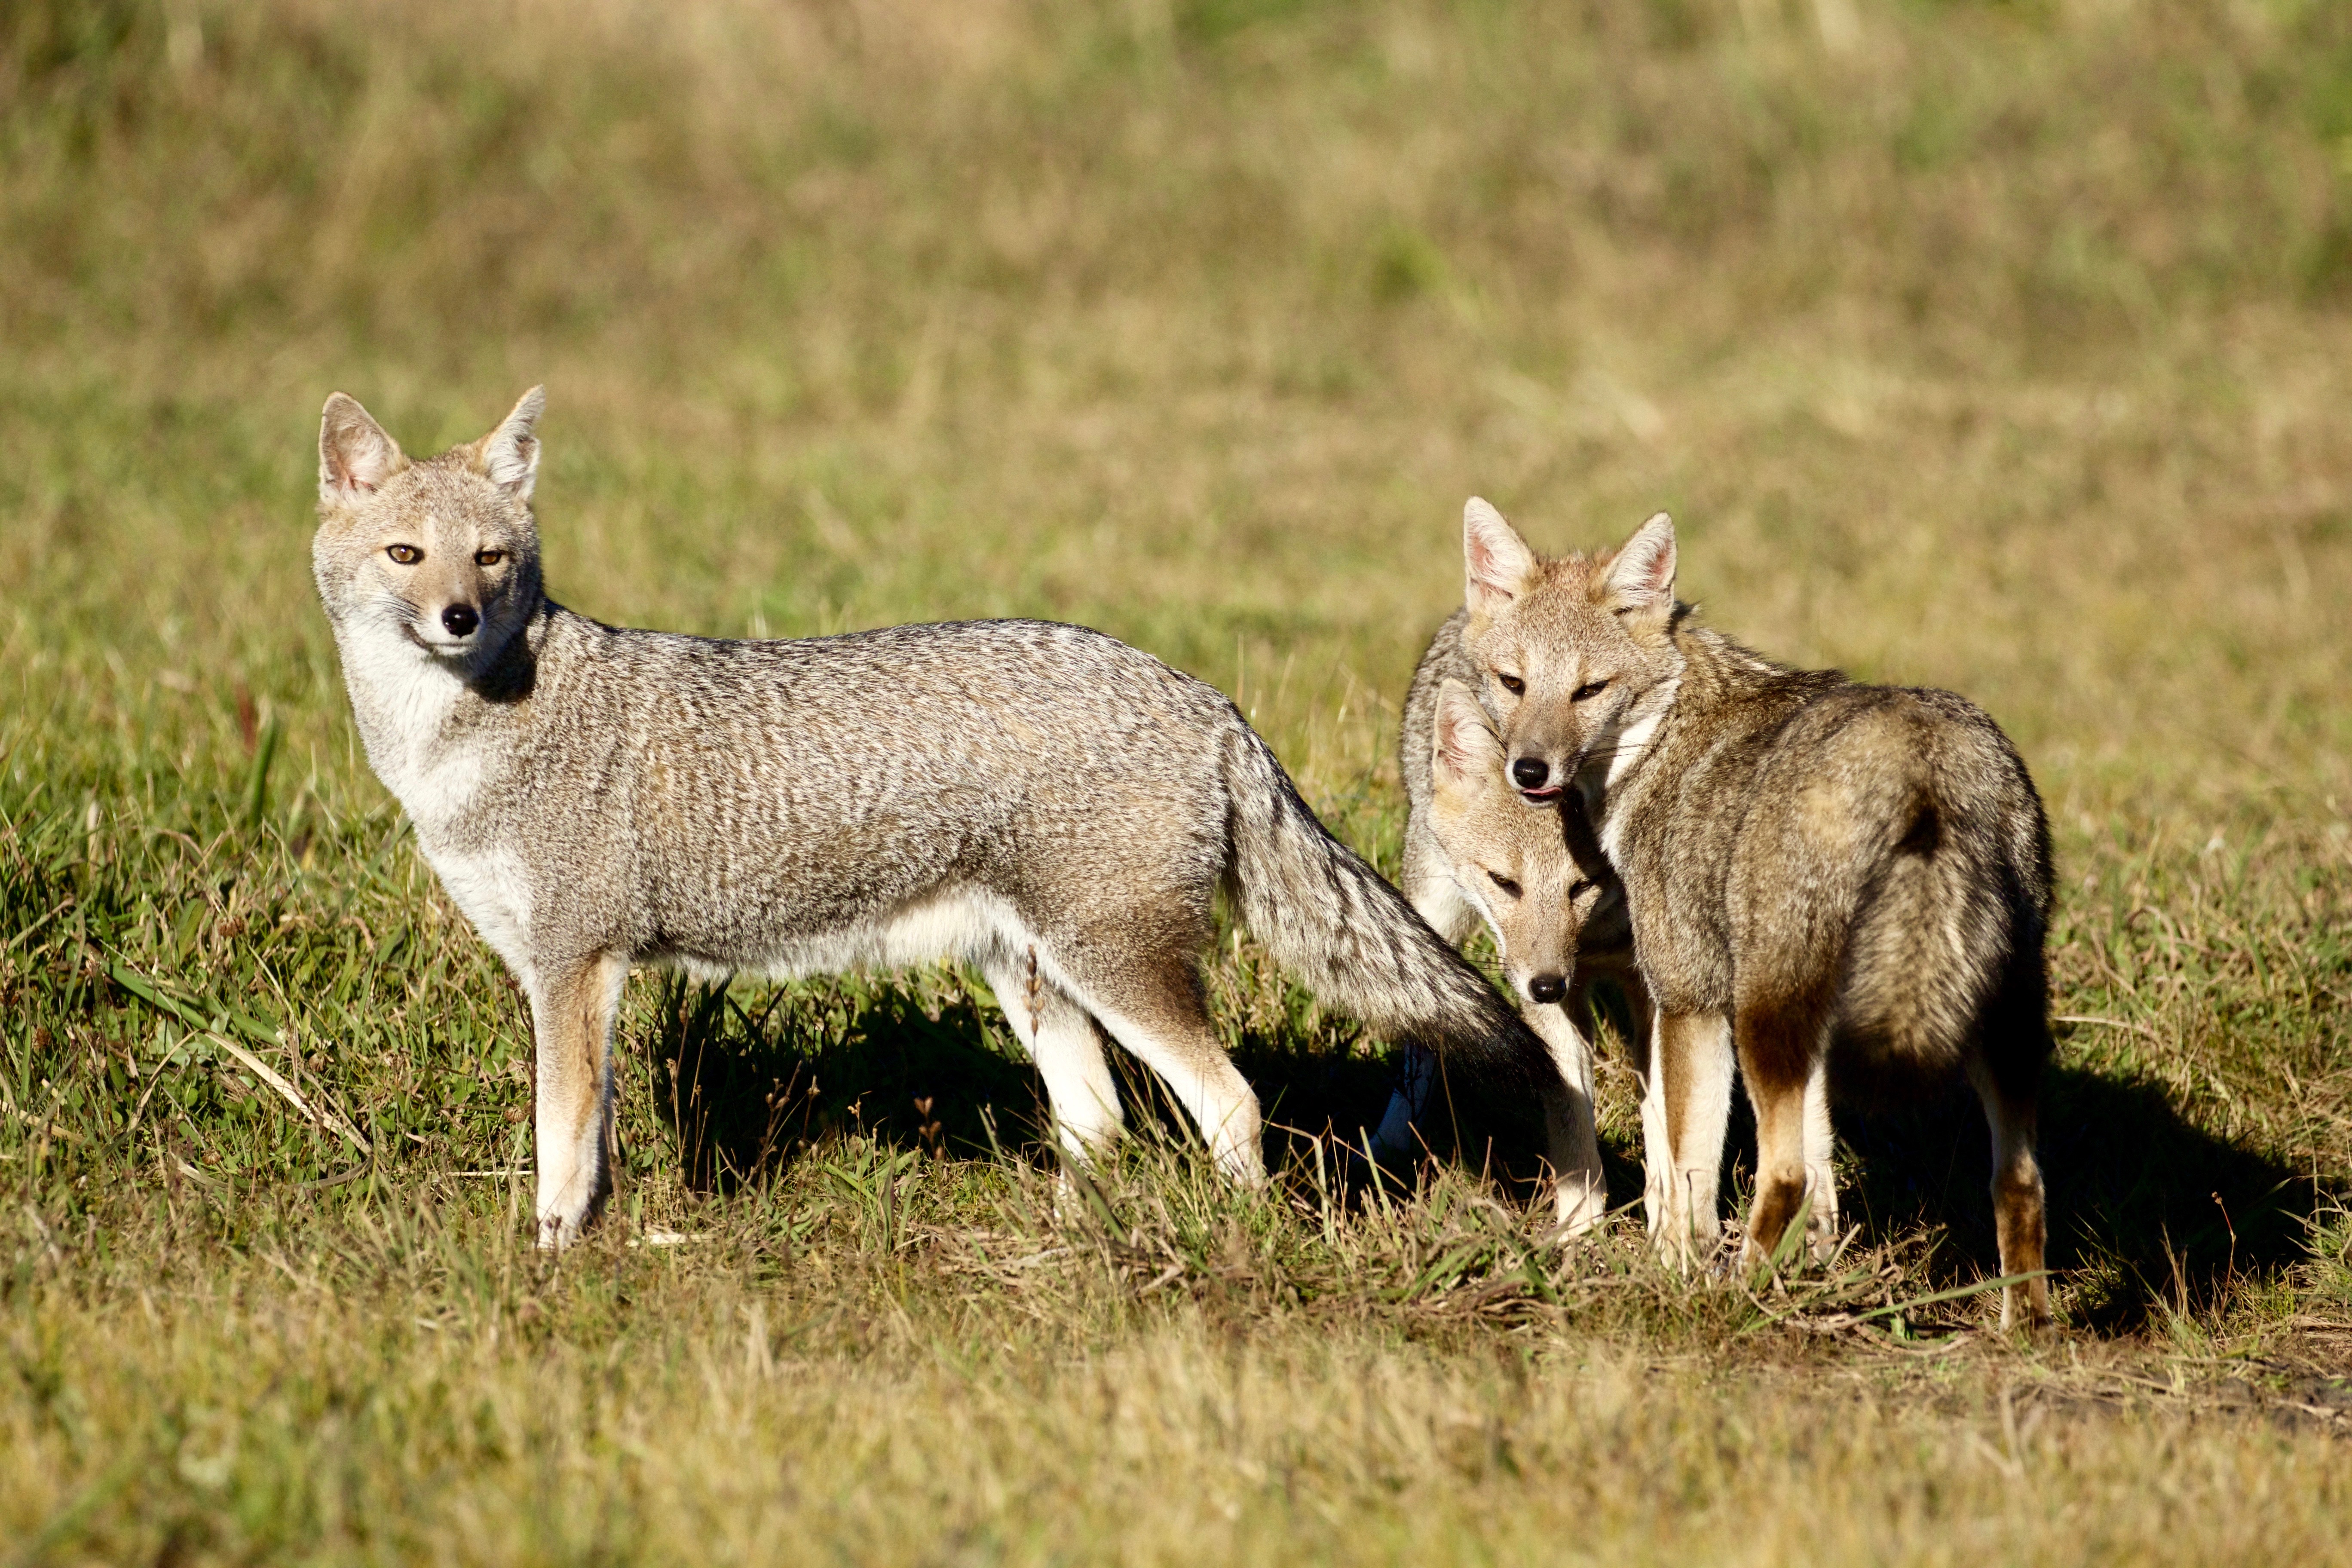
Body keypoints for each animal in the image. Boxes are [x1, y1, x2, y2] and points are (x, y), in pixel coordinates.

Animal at [308, 385, 1543, 1241]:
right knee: (1101, 1123)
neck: (467, 740)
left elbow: (562, 1153)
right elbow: (580, 1145)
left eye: (491, 558)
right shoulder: (561, 971)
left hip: (1112, 969)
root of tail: (1202, 693)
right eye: (407, 555)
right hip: (1032, 977)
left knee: (1229, 1103)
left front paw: (553, 1265)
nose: (459, 619)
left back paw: (1232, 1243)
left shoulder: (575, 968)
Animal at [1430, 500, 2060, 1326]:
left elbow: (1688, 1167)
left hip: (1767, 1015)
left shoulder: (1688, 996)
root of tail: (1924, 754)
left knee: (1781, 1173)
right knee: (2019, 1183)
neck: (1665, 734)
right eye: (1514, 682)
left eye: (1589, 690)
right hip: (1996, 1022)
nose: (1528, 770)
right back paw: (2026, 1330)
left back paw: (1740, 1295)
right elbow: (1814, 1170)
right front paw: (1810, 1268)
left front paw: (1674, 1272)